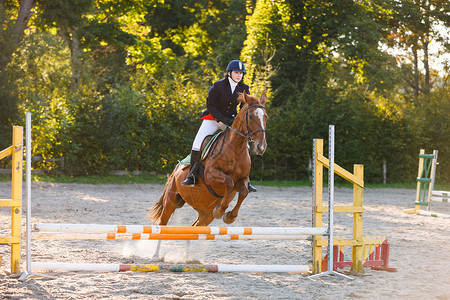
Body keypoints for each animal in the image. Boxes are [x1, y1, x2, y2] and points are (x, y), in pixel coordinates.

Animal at [148, 92, 268, 227]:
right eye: (251, 117)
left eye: (266, 117)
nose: (261, 147)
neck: (235, 149)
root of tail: (177, 168)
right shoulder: (210, 174)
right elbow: (229, 181)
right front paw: (220, 211)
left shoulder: (243, 179)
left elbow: (244, 191)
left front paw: (230, 216)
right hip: (171, 201)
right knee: (163, 222)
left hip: (206, 214)